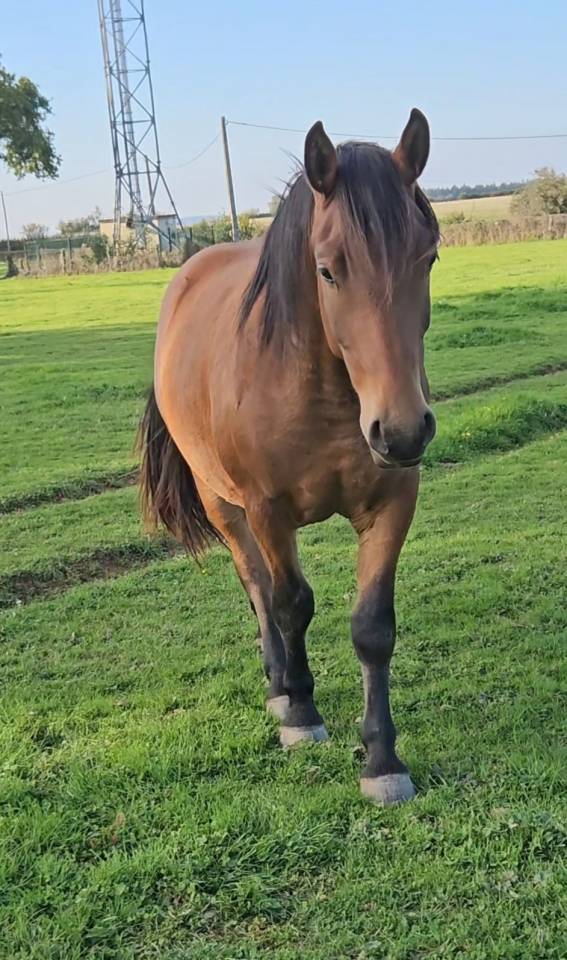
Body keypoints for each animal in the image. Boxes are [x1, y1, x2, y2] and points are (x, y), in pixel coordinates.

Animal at [139, 109, 440, 805]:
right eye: (328, 270)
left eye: (429, 257)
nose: (401, 432)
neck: (324, 398)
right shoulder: (269, 512)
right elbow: (289, 603)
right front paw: (302, 712)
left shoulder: (394, 504)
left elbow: (373, 627)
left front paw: (382, 758)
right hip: (222, 502)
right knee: (254, 583)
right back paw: (278, 685)